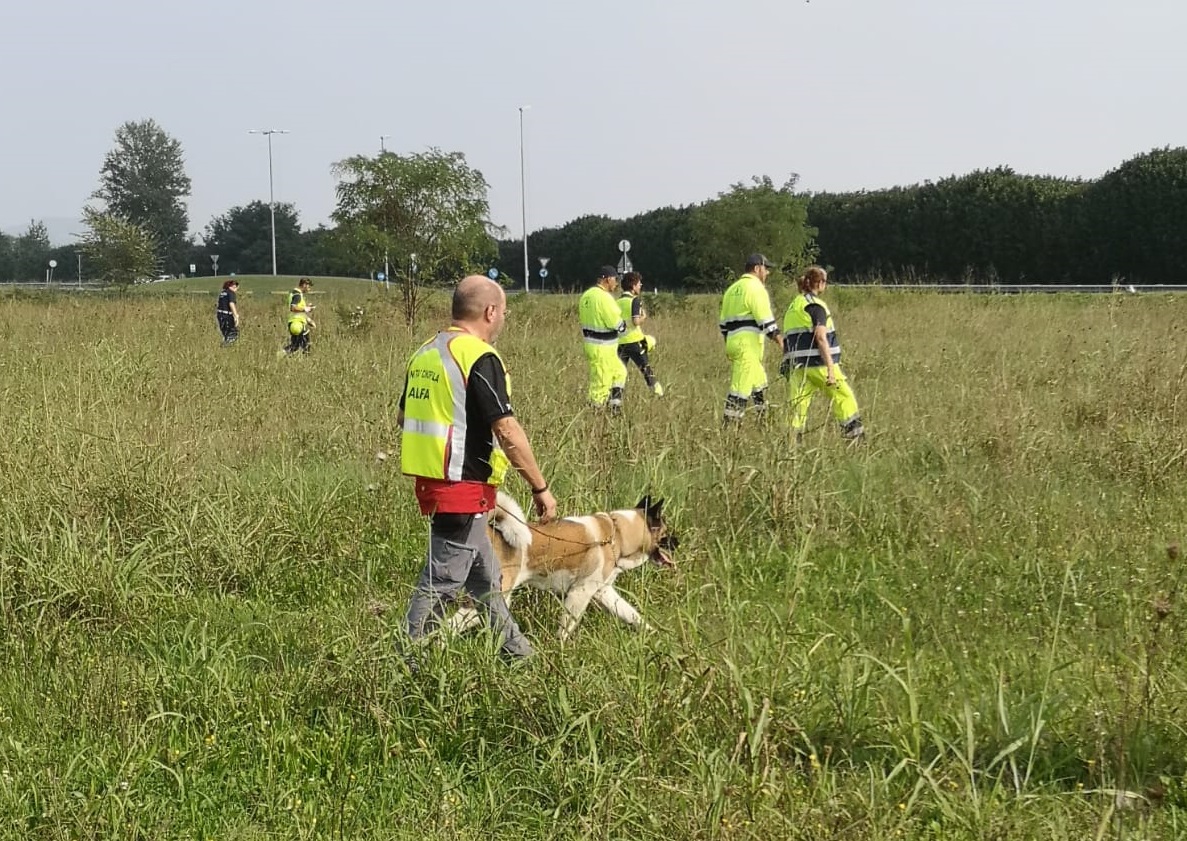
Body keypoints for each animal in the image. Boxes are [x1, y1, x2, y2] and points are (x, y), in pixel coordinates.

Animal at [448, 488, 678, 640]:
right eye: (666, 531)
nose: (678, 542)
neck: (617, 534)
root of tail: (492, 530)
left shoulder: (604, 592)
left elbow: (632, 615)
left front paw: (654, 634)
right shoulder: (579, 594)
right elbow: (566, 628)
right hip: (497, 594)